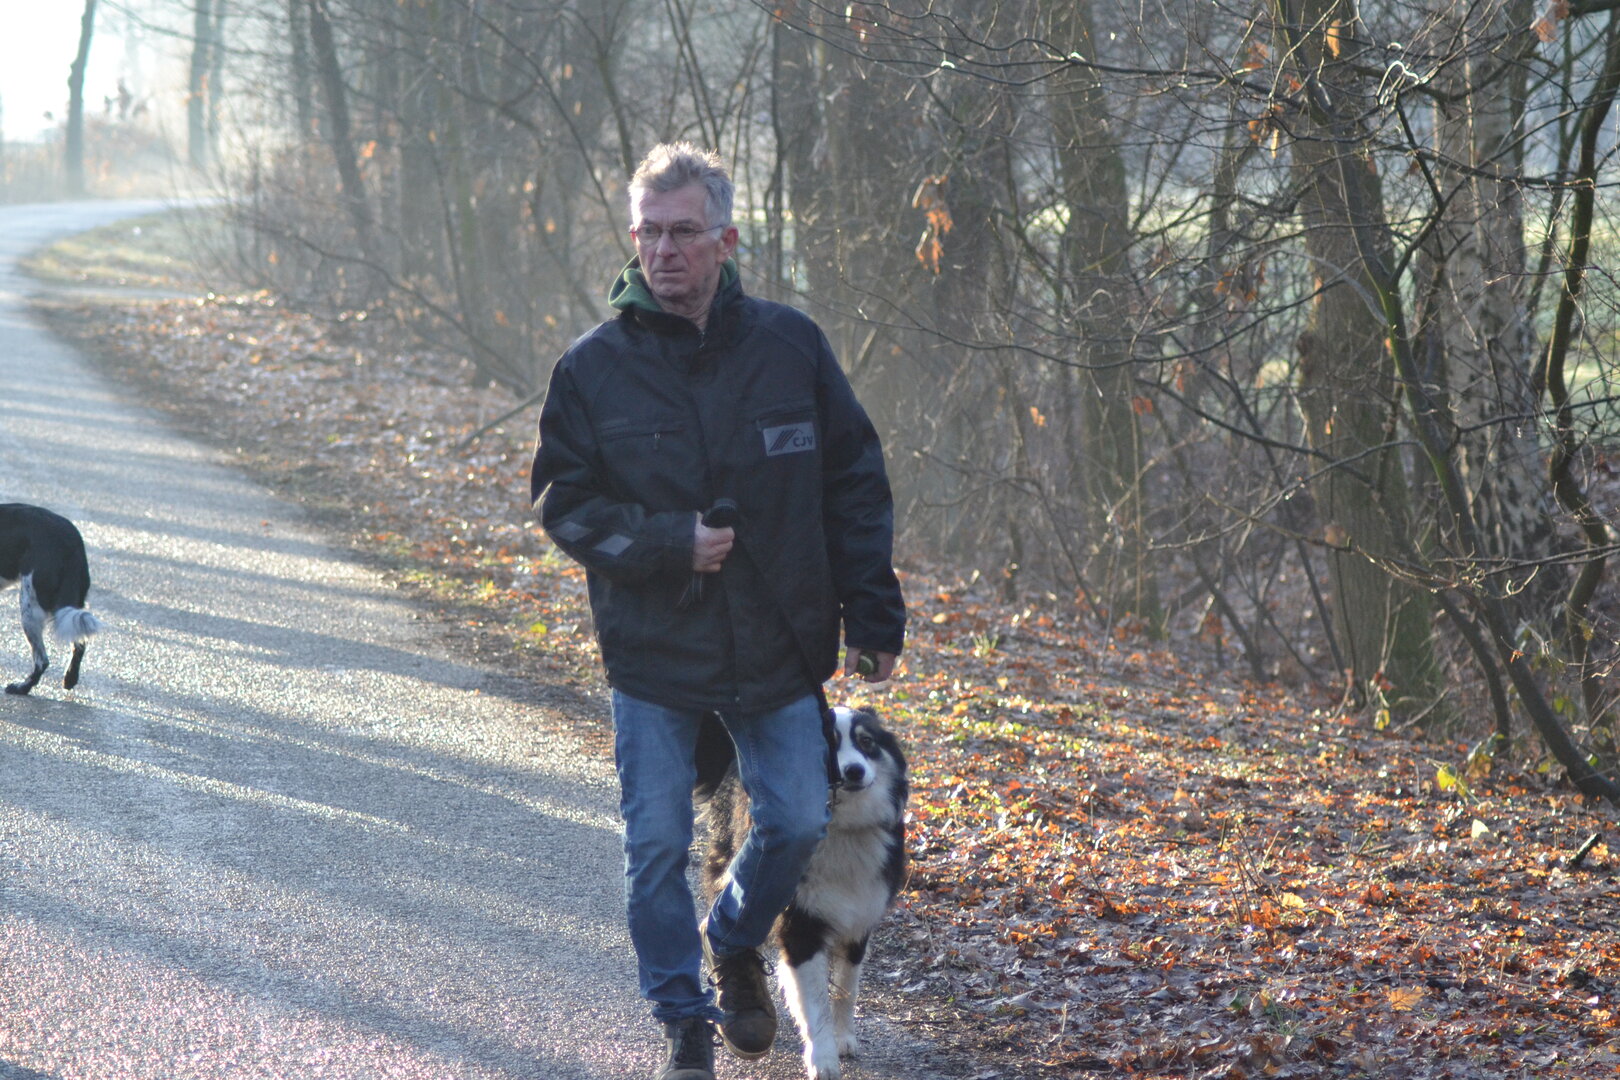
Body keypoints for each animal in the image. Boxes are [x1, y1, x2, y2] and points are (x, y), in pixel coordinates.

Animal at [0, 504, 103, 695]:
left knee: (42, 660)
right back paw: (69, 679)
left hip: (30, 607)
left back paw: (22, 687)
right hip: (68, 606)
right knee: (80, 644)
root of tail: (72, 540)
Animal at [697, 705, 908, 1080]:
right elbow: (815, 1001)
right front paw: (822, 1059)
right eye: (828, 743)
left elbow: (847, 989)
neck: (842, 828)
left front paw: (844, 1038)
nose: (854, 771)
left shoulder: (861, 917)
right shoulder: (801, 926)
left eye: (867, 742)